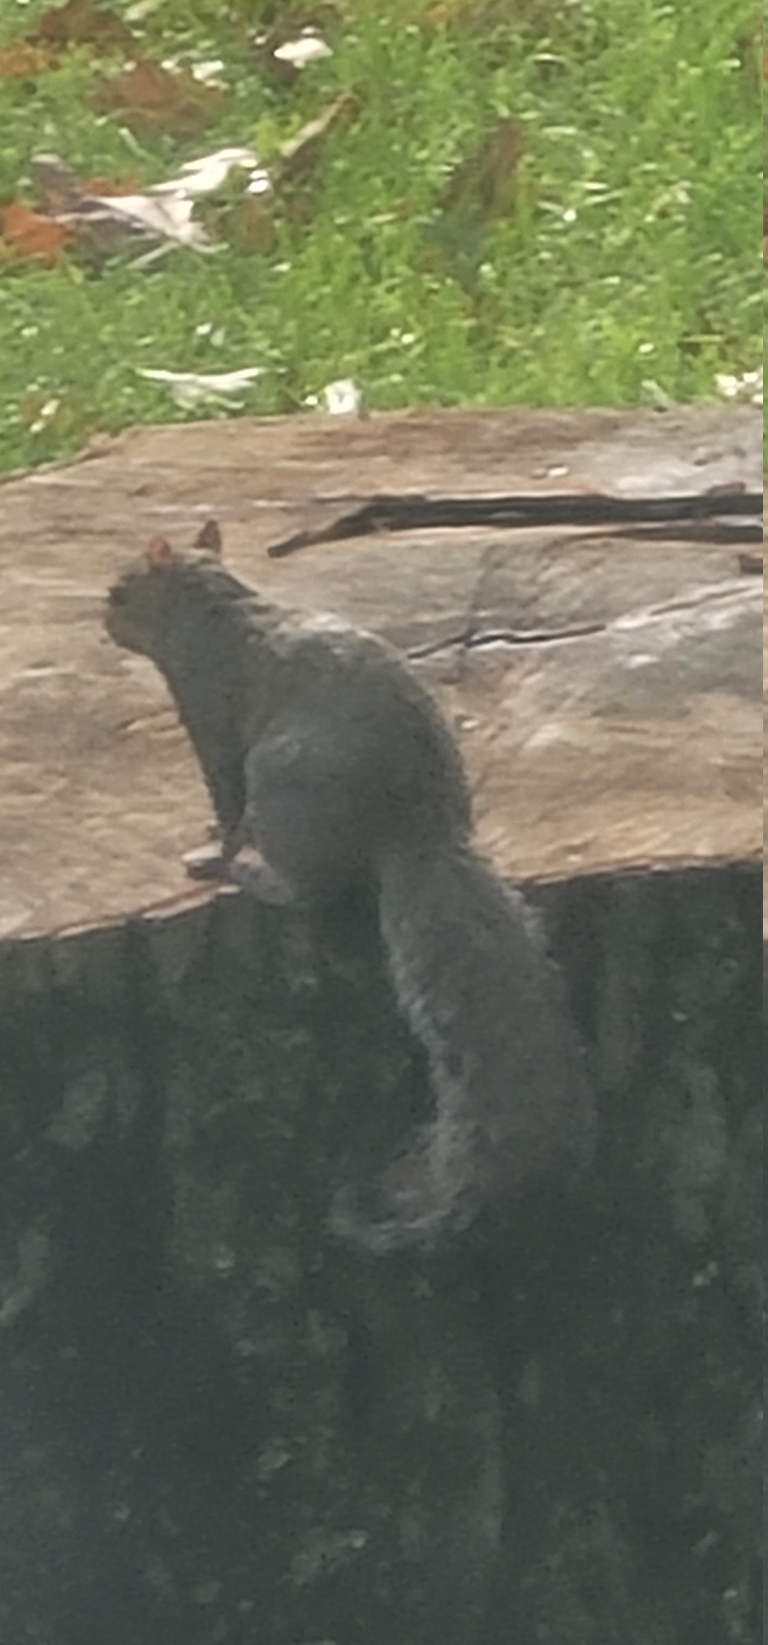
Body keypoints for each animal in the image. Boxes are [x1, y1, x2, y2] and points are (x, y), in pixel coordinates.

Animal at [105, 520, 595, 1253]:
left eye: (121, 590)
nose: (103, 620)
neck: (213, 606)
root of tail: (415, 829)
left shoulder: (209, 712)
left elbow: (225, 797)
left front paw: (212, 847)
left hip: (281, 785)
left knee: (311, 888)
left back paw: (248, 874)